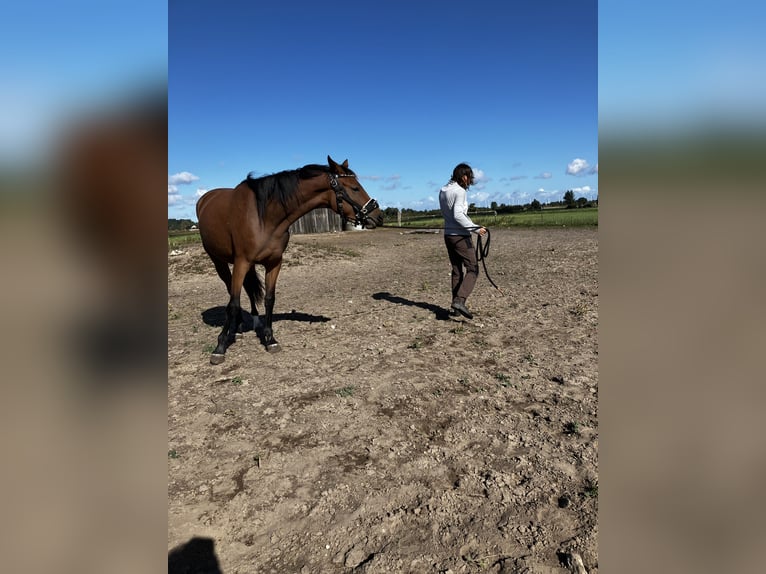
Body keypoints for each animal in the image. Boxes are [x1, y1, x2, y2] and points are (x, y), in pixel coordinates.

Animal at [198, 156, 384, 364]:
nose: (379, 216)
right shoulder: (241, 262)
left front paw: (270, 339)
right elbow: (233, 303)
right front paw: (220, 346)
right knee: (231, 291)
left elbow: (269, 299)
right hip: (219, 261)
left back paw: (243, 326)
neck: (264, 217)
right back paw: (234, 329)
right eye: (354, 188)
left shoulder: (274, 263)